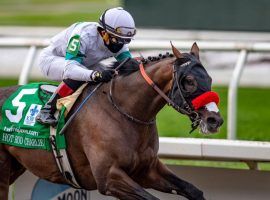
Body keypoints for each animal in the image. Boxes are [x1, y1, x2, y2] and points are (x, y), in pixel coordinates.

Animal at [0, 43, 224, 199]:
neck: (124, 111)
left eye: (210, 79)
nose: (215, 120)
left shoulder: (147, 169)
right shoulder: (108, 177)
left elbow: (193, 190)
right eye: (189, 81)